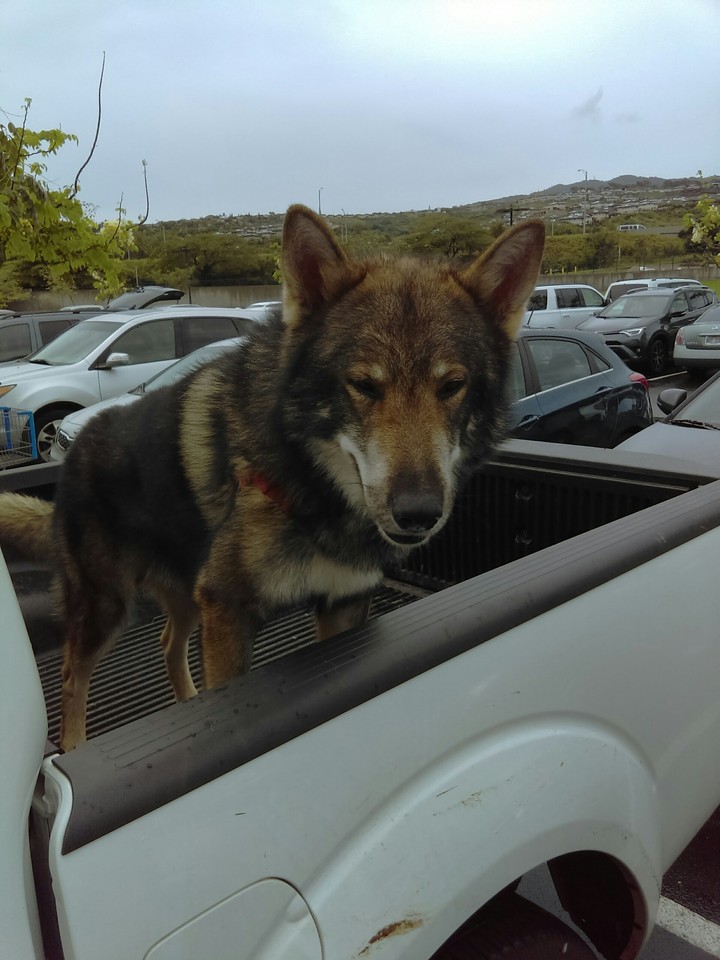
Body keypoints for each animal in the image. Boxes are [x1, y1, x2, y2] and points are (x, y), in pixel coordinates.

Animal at [0, 205, 544, 750]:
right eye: (363, 385)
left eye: (452, 386)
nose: (418, 513)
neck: (311, 488)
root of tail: (74, 445)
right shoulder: (228, 611)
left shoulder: (342, 604)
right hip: (106, 605)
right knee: (73, 676)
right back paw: (74, 744)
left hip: (184, 595)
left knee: (167, 642)